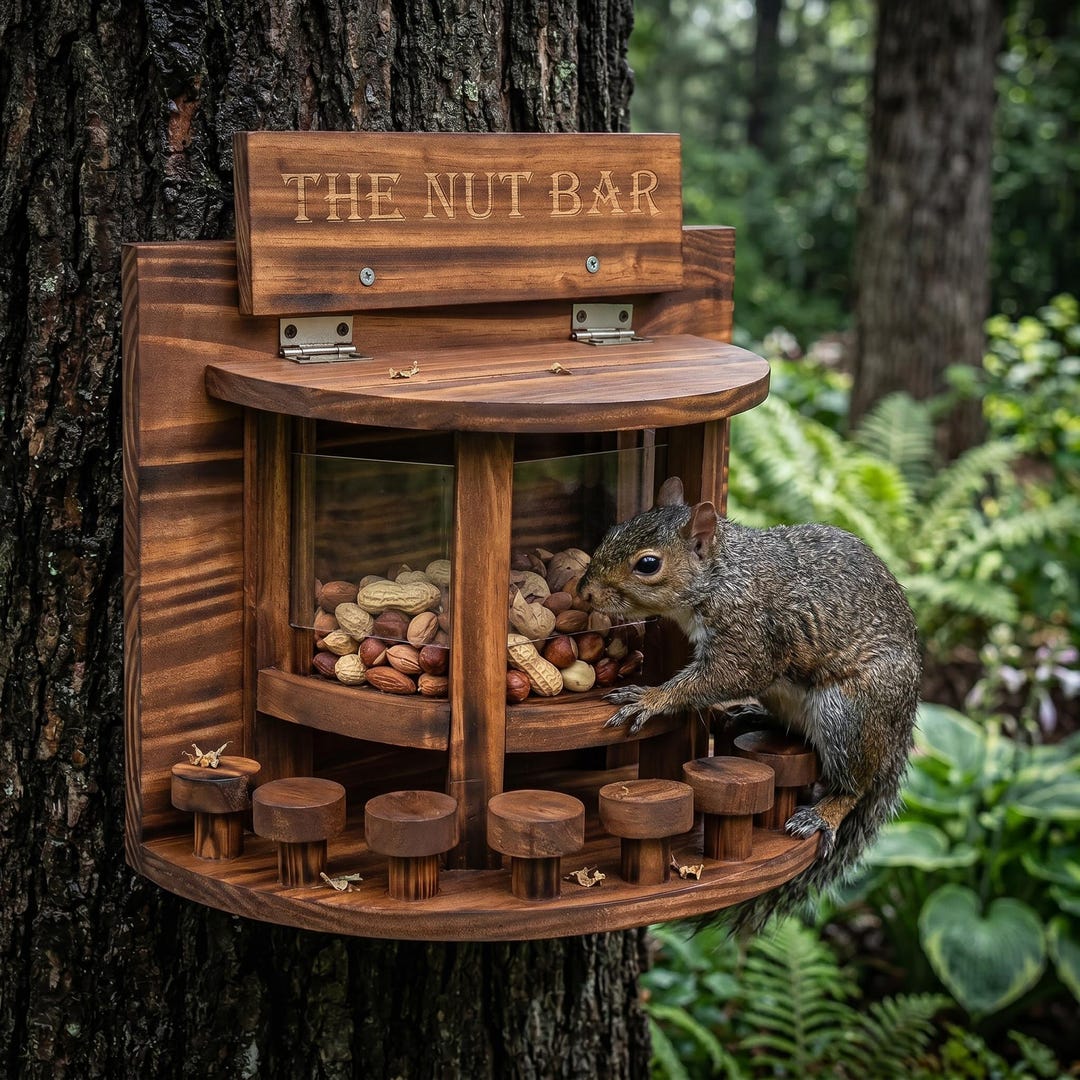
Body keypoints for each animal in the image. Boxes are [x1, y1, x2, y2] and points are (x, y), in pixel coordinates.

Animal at [577, 476, 921, 929]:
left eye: (648, 564)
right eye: (613, 531)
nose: (585, 592)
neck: (724, 575)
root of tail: (900, 731)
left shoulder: (749, 635)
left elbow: (731, 675)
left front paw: (651, 698)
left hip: (851, 713)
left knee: (854, 785)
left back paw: (824, 812)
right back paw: (750, 715)